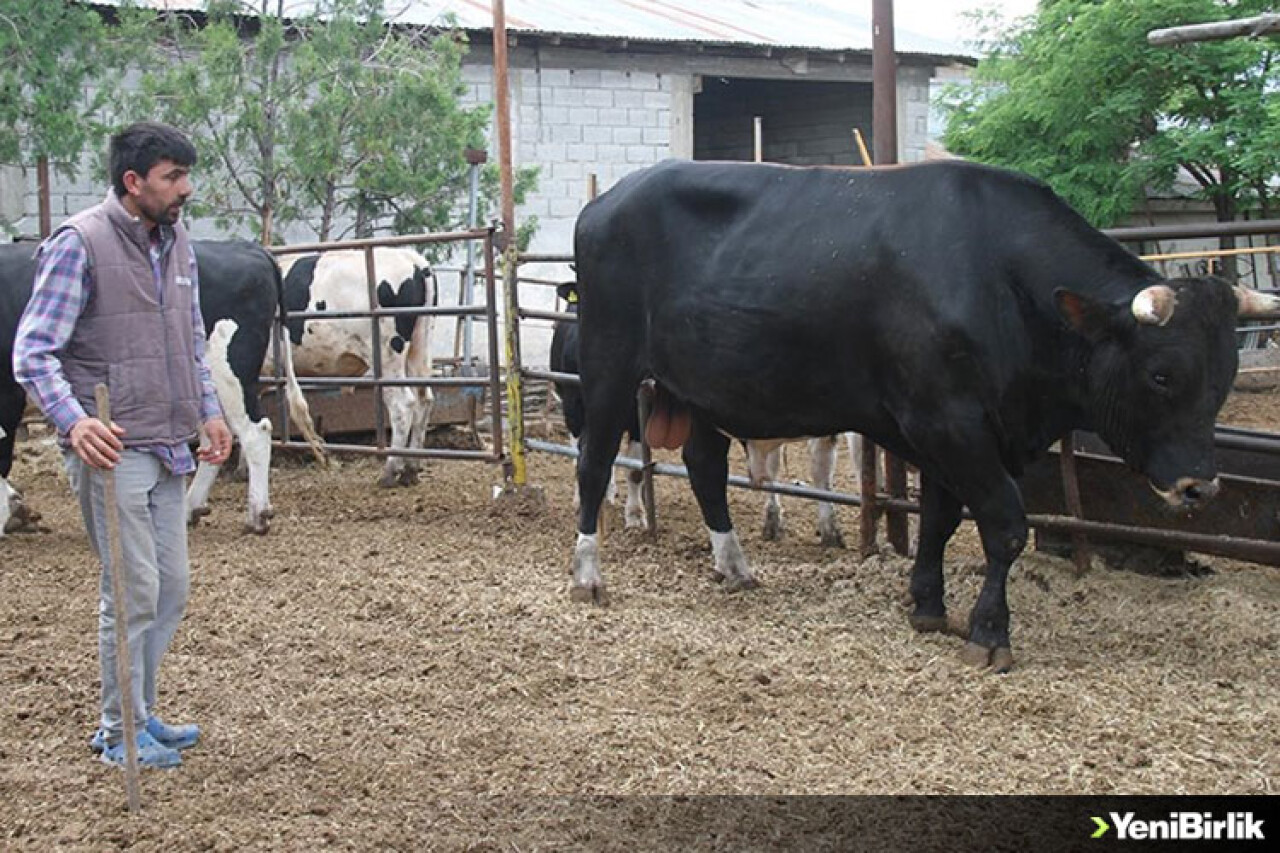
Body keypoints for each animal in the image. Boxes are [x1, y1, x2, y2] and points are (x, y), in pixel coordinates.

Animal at [1, 235, 320, 535]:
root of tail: (249, 248)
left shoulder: (7, 392)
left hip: (229, 370)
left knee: (254, 431)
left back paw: (257, 515)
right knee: (215, 438)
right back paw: (191, 509)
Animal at [273, 247, 435, 484]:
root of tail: (411, 258)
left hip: (386, 356)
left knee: (402, 404)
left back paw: (390, 470)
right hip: (419, 347)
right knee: (424, 398)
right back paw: (411, 469)